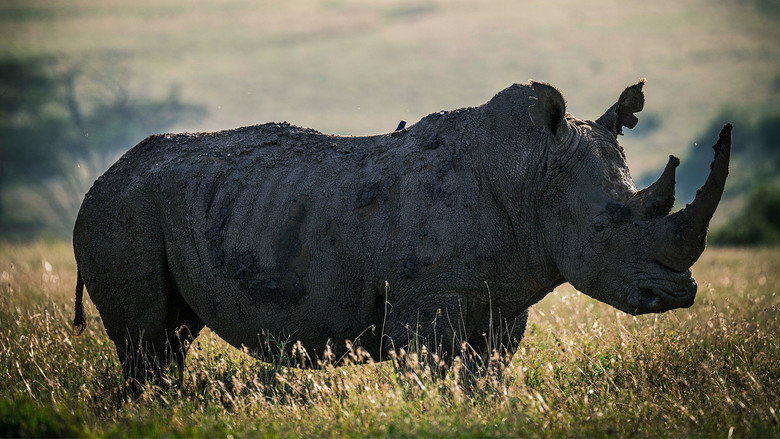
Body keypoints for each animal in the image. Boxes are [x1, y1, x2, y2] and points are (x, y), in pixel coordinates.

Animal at [72, 80, 731, 382]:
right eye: (600, 228)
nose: (678, 295)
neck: (530, 173)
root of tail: (101, 178)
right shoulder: (428, 299)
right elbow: (435, 374)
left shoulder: (502, 298)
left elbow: (485, 375)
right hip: (122, 209)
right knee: (145, 339)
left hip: (168, 207)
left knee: (170, 337)